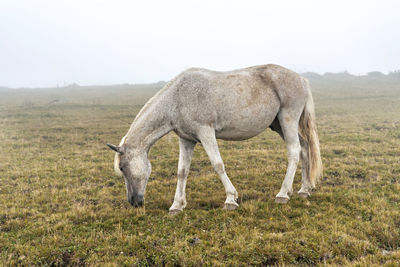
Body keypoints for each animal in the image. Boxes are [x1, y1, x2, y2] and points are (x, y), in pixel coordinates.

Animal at [107, 64, 322, 214]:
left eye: (122, 167)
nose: (134, 201)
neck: (177, 98)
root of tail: (301, 79)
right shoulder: (186, 139)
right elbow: (182, 172)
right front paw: (177, 205)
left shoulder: (206, 132)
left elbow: (217, 165)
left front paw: (231, 199)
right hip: (278, 125)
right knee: (304, 147)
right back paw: (304, 189)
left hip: (288, 119)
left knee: (294, 151)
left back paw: (283, 194)